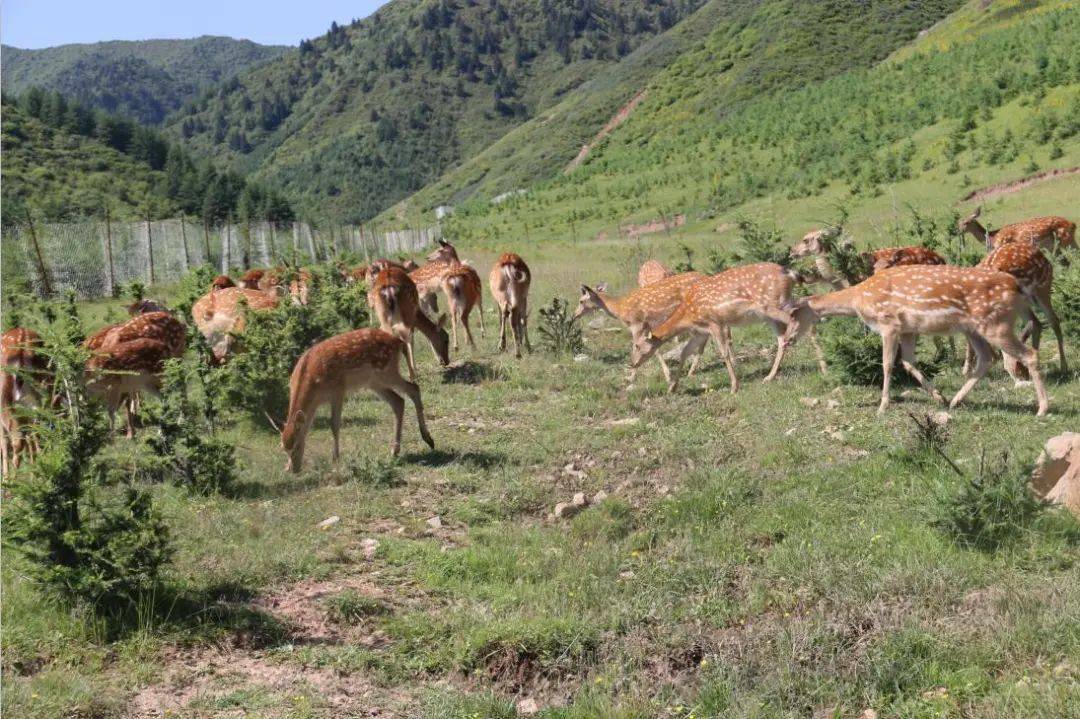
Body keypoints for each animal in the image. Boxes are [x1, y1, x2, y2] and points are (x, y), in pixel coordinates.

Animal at [276, 323, 436, 470]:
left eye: (296, 446)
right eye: (284, 448)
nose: (293, 470)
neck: (312, 384)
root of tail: (398, 342)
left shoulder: (338, 390)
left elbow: (334, 424)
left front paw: (335, 458)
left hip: (387, 371)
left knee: (413, 388)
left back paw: (428, 439)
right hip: (375, 382)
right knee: (398, 401)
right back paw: (395, 451)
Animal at [570, 269, 712, 384]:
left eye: (581, 301)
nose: (575, 315)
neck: (620, 308)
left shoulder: (637, 324)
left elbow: (636, 347)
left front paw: (630, 377)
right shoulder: (647, 326)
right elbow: (653, 348)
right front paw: (667, 375)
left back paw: (691, 371)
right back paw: (692, 370)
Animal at [630, 262, 820, 388]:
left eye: (638, 345)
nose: (632, 364)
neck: (688, 314)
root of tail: (791, 273)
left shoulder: (715, 323)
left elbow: (724, 352)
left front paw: (734, 386)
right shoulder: (701, 331)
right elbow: (684, 353)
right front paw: (673, 387)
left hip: (771, 305)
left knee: (795, 318)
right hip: (774, 309)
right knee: (800, 314)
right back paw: (771, 376)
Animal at [790, 264, 1049, 414]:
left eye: (793, 314)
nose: (788, 339)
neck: (858, 300)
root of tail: (1018, 288)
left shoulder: (889, 324)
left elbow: (887, 364)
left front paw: (882, 406)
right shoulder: (908, 330)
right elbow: (907, 362)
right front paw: (939, 397)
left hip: (996, 323)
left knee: (1029, 354)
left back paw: (1043, 408)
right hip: (973, 328)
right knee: (988, 357)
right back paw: (955, 401)